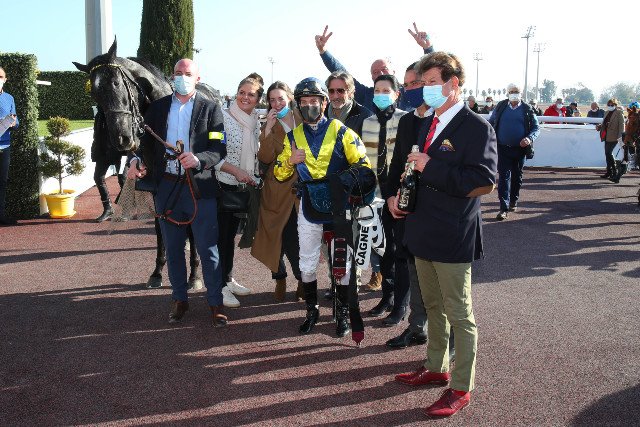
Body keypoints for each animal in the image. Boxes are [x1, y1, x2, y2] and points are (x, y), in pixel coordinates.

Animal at [73, 38, 216, 289]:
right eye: (95, 93)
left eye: (116, 82)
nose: (121, 138)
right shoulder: (157, 182)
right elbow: (160, 225)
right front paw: (158, 271)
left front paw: (195, 275)